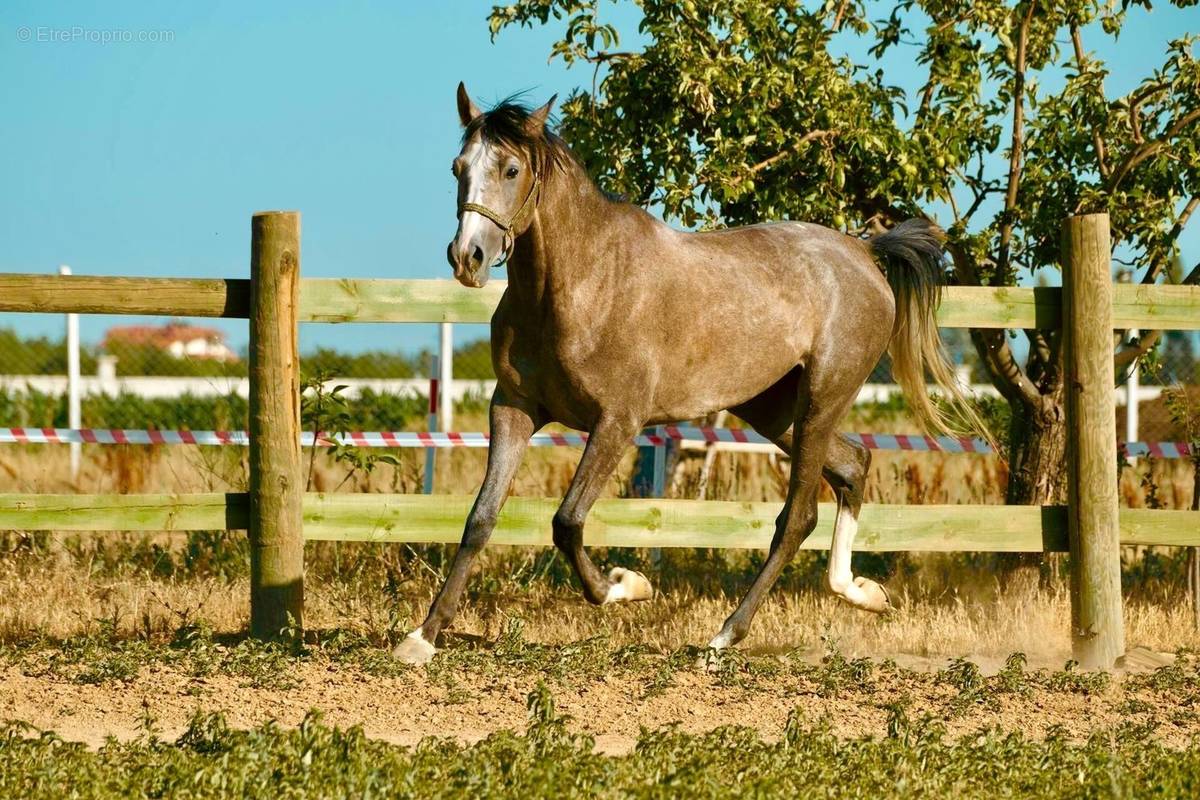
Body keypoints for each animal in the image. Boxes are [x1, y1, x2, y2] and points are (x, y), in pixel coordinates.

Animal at [388, 84, 979, 666]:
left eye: (511, 169)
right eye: (458, 166)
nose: (467, 257)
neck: (580, 284)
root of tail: (864, 252)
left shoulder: (617, 421)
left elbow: (568, 521)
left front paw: (627, 585)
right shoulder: (513, 408)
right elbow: (481, 518)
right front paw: (422, 637)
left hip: (820, 401)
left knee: (798, 516)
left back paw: (723, 639)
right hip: (775, 411)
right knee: (854, 466)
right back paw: (863, 593)